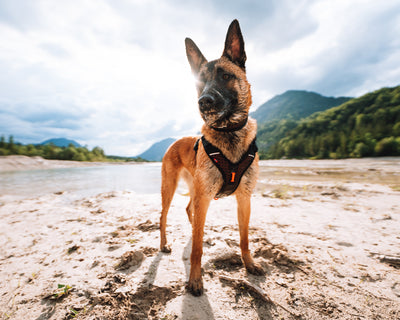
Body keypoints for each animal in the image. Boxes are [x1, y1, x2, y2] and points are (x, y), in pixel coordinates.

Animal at [159, 19, 262, 296]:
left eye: (226, 76)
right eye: (200, 82)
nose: (203, 101)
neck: (228, 132)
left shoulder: (244, 199)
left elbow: (244, 238)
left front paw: (249, 264)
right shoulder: (204, 197)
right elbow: (196, 249)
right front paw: (195, 280)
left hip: (196, 190)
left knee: (189, 211)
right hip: (170, 189)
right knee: (163, 217)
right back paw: (164, 244)